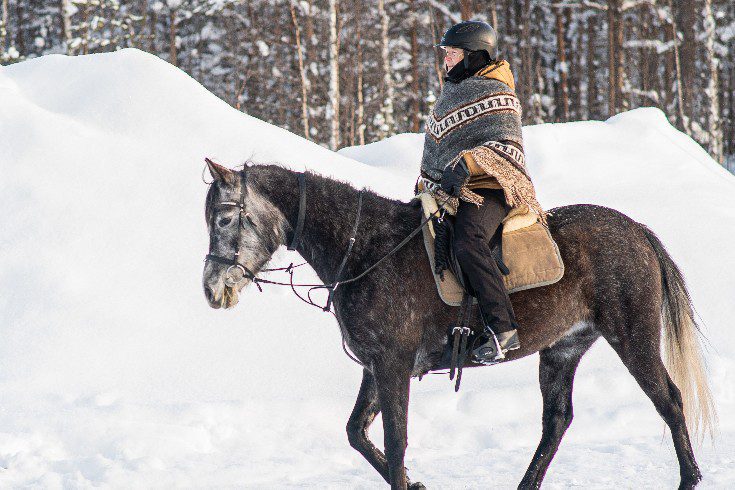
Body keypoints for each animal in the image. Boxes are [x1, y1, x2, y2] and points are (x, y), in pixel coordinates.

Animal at [201, 160, 715, 489]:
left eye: (224, 218)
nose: (211, 289)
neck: (367, 249)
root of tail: (638, 232)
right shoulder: (376, 367)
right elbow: (357, 434)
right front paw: (417, 483)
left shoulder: (392, 365)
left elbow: (395, 441)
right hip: (563, 348)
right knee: (556, 421)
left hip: (632, 337)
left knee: (669, 401)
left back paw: (689, 478)